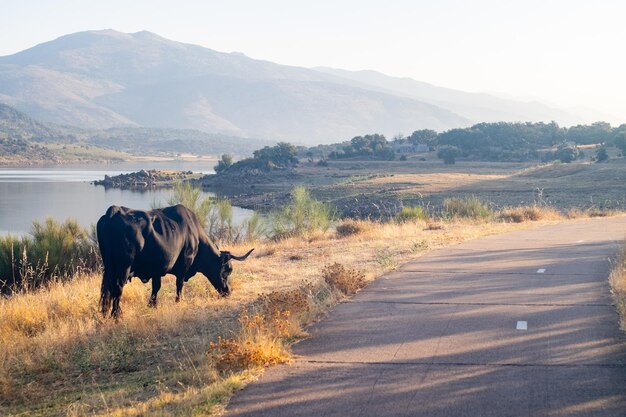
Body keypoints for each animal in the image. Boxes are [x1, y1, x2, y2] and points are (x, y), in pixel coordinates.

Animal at [96, 203, 252, 316]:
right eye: (228, 270)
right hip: (123, 267)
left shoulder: (157, 268)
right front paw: (178, 301)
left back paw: (104, 313)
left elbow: (156, 287)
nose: (228, 291)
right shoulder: (185, 263)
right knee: (117, 288)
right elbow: (179, 284)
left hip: (109, 268)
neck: (195, 234)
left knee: (107, 289)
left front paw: (152, 305)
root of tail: (114, 210)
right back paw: (116, 315)